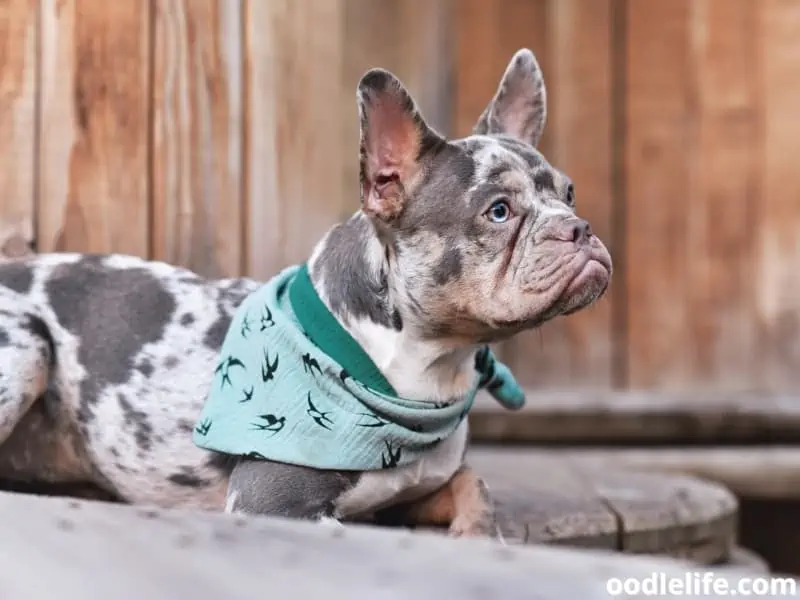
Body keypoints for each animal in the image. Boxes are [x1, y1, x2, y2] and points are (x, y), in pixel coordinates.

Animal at [0, 49, 608, 540]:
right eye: (498, 211)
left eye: (570, 194)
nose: (579, 228)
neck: (424, 371)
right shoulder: (275, 504)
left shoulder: (416, 487)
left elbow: (473, 485)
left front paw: (478, 536)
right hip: (27, 343)